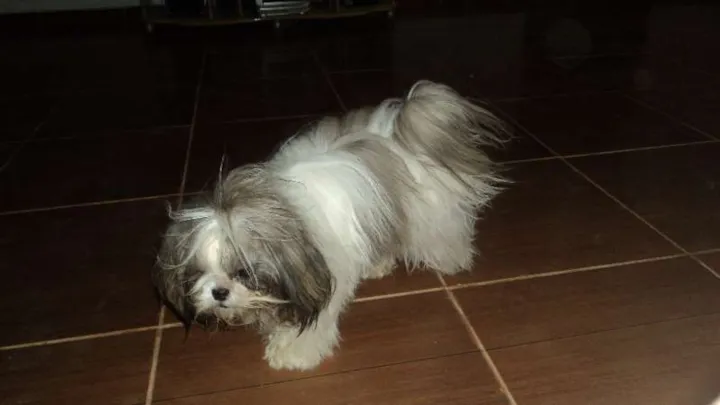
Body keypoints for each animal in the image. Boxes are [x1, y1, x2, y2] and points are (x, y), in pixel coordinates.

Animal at [153, 80, 508, 370]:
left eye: (243, 272)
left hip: (429, 215)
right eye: (199, 272)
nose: (219, 291)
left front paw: (293, 353)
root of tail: (397, 133)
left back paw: (452, 260)